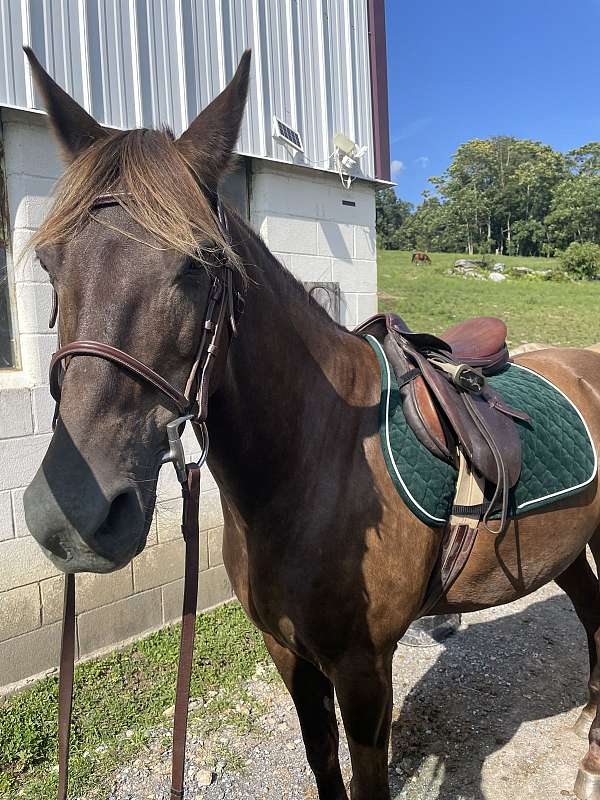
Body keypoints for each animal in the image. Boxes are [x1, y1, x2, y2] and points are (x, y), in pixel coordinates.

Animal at [23, 48, 600, 800]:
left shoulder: (363, 669)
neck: (312, 465)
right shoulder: (288, 652)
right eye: (49, 261)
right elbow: (322, 759)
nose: (71, 515)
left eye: (198, 264)